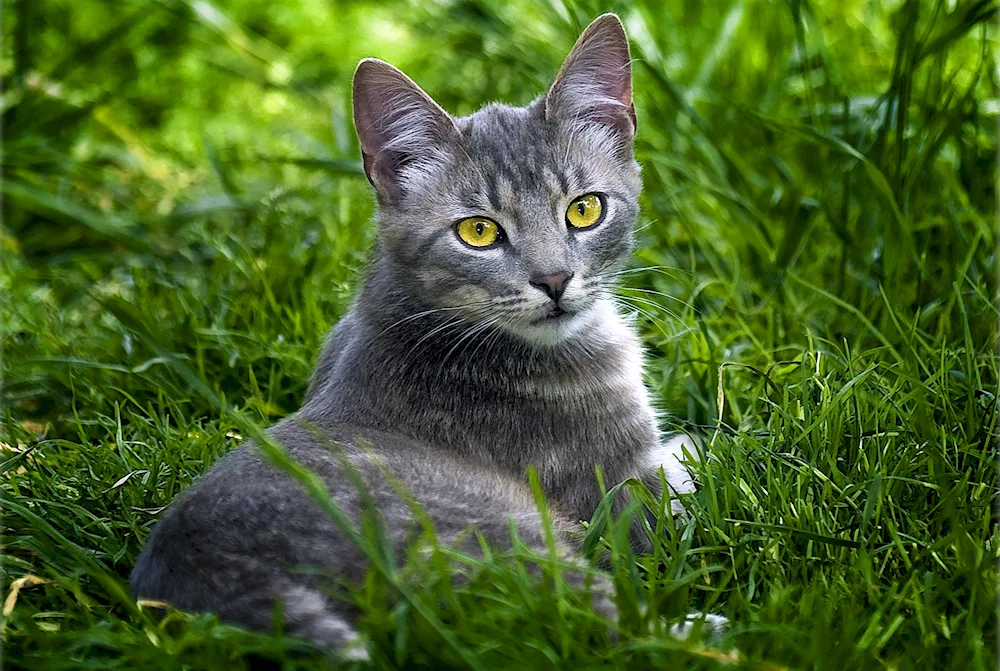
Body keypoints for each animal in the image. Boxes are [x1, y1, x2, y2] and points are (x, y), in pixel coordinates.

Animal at [129, 13, 700, 660]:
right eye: (478, 232)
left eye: (584, 210)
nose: (554, 279)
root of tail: (205, 570)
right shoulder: (620, 491)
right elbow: (695, 484)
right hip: (508, 543)